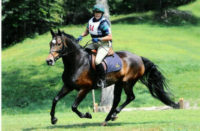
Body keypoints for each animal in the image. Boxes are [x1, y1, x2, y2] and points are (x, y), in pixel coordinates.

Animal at [46, 28, 178, 126]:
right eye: (50, 43)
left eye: (59, 44)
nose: (49, 61)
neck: (77, 63)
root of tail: (139, 58)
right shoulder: (68, 86)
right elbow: (55, 99)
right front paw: (53, 119)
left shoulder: (85, 89)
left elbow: (73, 107)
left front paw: (87, 115)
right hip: (119, 83)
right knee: (117, 100)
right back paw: (108, 118)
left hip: (127, 82)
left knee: (130, 97)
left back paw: (114, 114)